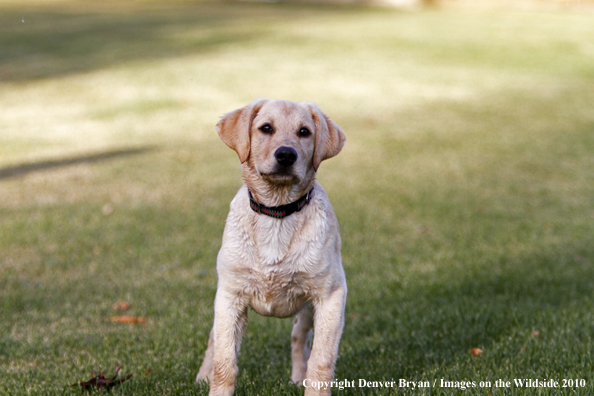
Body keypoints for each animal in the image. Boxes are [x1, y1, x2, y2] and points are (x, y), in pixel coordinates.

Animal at [198, 99, 346, 396]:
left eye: (304, 132)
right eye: (266, 128)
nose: (286, 155)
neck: (277, 214)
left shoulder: (331, 295)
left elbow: (321, 362)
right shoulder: (230, 296)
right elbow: (224, 362)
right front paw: (215, 384)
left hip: (308, 310)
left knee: (298, 337)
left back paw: (297, 377)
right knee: (212, 340)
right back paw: (201, 377)